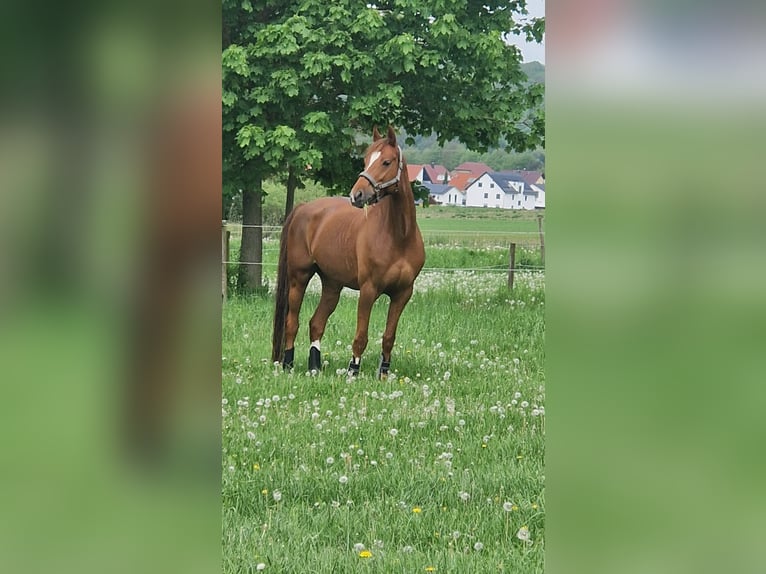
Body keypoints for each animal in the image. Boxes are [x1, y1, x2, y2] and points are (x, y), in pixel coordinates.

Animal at [272, 126, 426, 378]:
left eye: (386, 161)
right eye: (366, 160)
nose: (357, 195)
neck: (399, 236)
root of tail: (303, 208)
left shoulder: (403, 294)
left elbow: (389, 337)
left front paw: (383, 375)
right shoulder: (368, 290)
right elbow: (361, 336)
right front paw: (353, 372)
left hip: (332, 285)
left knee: (316, 323)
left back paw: (314, 367)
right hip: (298, 278)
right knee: (292, 322)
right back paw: (288, 364)